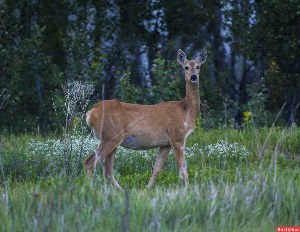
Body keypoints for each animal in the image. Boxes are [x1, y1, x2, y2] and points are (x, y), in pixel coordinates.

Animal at [83, 48, 207, 189]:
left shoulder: (165, 144)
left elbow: (157, 168)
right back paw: (89, 189)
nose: (193, 77)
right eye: (185, 67)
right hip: (110, 136)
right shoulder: (177, 137)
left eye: (198, 66)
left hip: (111, 140)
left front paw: (148, 189)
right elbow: (183, 169)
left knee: (107, 171)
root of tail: (91, 113)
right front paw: (189, 189)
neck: (186, 110)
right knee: (89, 163)